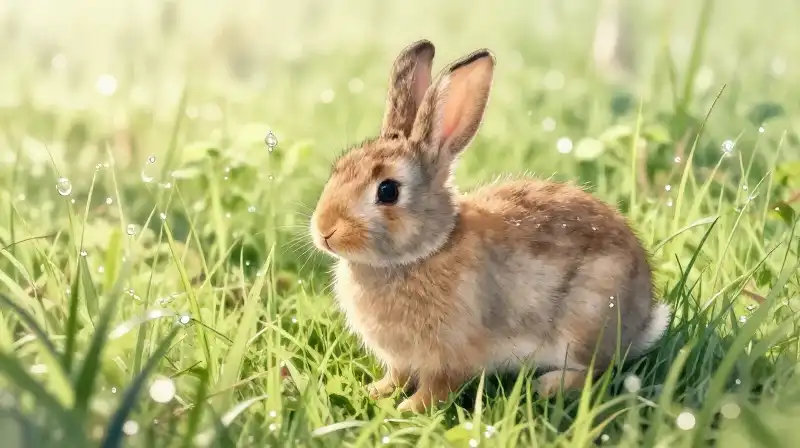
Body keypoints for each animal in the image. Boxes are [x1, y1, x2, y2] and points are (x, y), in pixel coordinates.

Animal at [309, 39, 671, 413]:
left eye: (388, 191)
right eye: (338, 169)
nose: (324, 231)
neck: (425, 251)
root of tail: (642, 320)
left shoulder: (450, 354)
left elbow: (437, 388)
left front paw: (407, 409)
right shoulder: (401, 360)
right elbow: (396, 376)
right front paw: (375, 392)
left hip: (587, 318)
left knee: (594, 371)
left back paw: (548, 386)